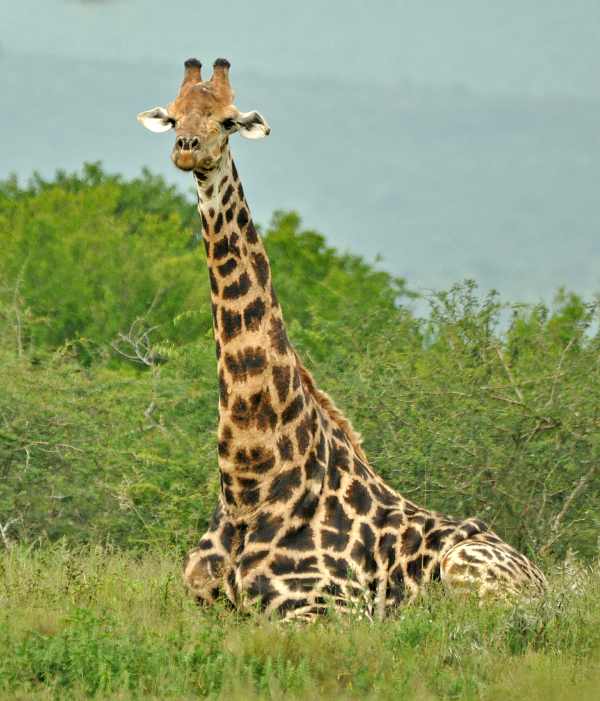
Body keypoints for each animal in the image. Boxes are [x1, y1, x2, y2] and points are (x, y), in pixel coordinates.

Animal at [138, 58, 548, 616]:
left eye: (226, 121)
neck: (251, 483)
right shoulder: (197, 601)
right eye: (176, 115)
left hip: (468, 572)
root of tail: (545, 582)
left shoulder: (323, 608)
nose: (187, 148)